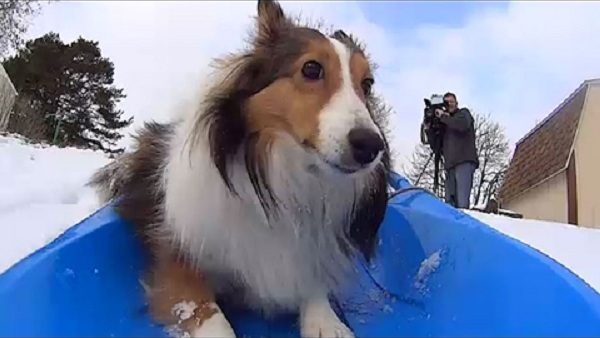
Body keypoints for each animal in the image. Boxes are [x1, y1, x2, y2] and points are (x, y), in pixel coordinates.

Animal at [86, 1, 392, 336]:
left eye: (367, 84)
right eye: (311, 69)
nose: (371, 146)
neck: (281, 180)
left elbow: (312, 284)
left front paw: (326, 323)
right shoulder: (176, 262)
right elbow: (209, 315)